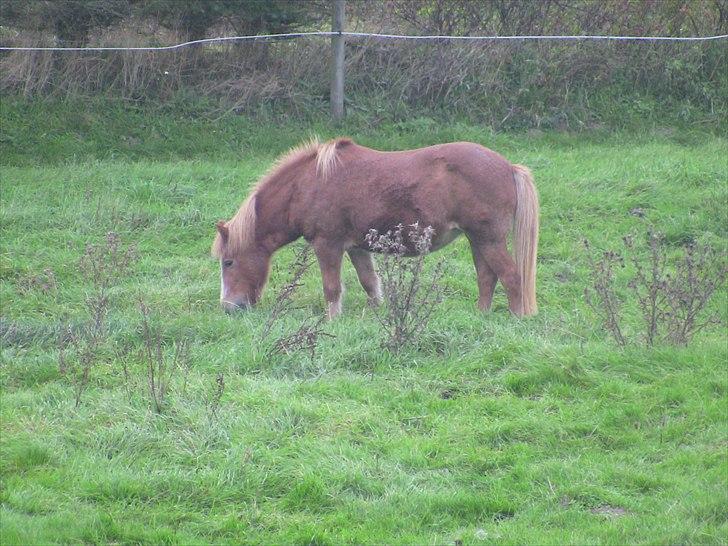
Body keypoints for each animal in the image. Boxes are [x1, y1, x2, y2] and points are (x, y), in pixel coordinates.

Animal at [212, 137, 540, 318]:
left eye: (229, 262)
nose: (228, 307)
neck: (309, 184)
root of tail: (508, 167)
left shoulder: (327, 245)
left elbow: (332, 288)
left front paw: (332, 321)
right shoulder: (357, 248)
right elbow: (370, 283)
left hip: (489, 240)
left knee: (511, 277)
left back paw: (516, 318)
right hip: (478, 240)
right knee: (487, 278)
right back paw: (481, 315)